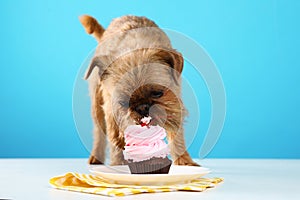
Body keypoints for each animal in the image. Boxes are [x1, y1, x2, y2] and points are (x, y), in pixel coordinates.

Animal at [79, 15, 199, 166]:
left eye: (158, 93)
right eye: (123, 103)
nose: (142, 107)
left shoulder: (174, 106)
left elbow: (176, 138)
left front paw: (184, 162)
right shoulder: (112, 112)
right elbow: (116, 140)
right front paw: (118, 164)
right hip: (97, 105)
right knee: (99, 132)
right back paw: (97, 157)